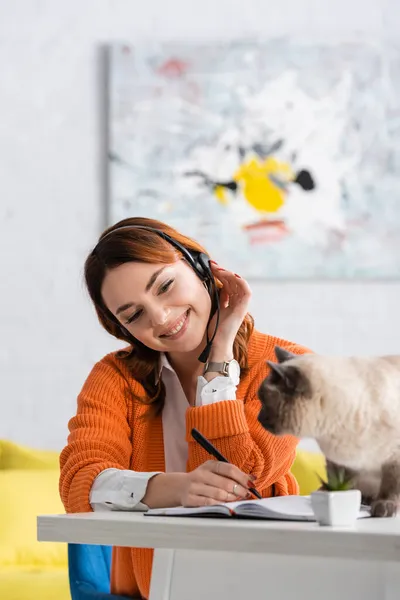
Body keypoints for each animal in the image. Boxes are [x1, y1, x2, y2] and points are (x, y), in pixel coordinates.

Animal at [256, 344, 400, 516]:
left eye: (264, 400)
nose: (258, 417)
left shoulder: (394, 458)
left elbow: (391, 485)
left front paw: (384, 506)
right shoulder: (339, 462)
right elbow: (336, 482)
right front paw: (329, 496)